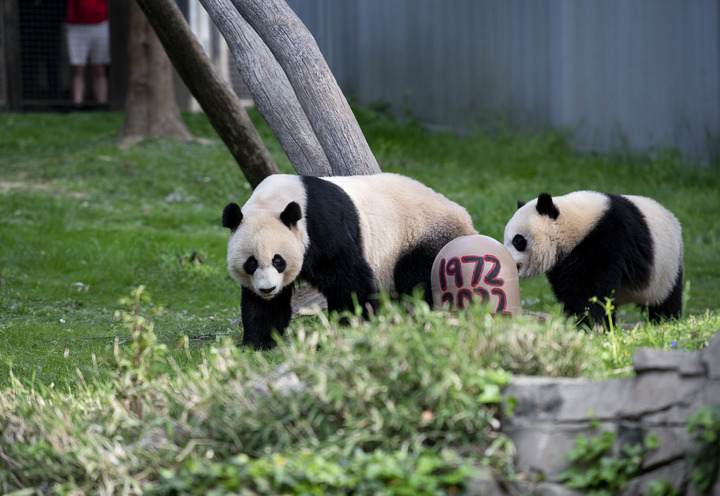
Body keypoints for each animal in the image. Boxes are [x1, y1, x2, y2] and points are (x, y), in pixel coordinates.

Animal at [219, 174, 478, 348]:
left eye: (277, 260)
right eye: (251, 263)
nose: (267, 289)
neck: (275, 200)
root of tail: (467, 221)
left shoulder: (321, 228)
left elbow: (348, 278)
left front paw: (351, 325)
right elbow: (264, 306)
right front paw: (258, 342)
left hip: (419, 237)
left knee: (421, 281)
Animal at [504, 192, 684, 328]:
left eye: (518, 240)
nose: (508, 258)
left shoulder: (606, 239)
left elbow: (587, 287)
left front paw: (581, 322)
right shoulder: (560, 262)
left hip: (667, 268)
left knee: (666, 301)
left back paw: (665, 323)